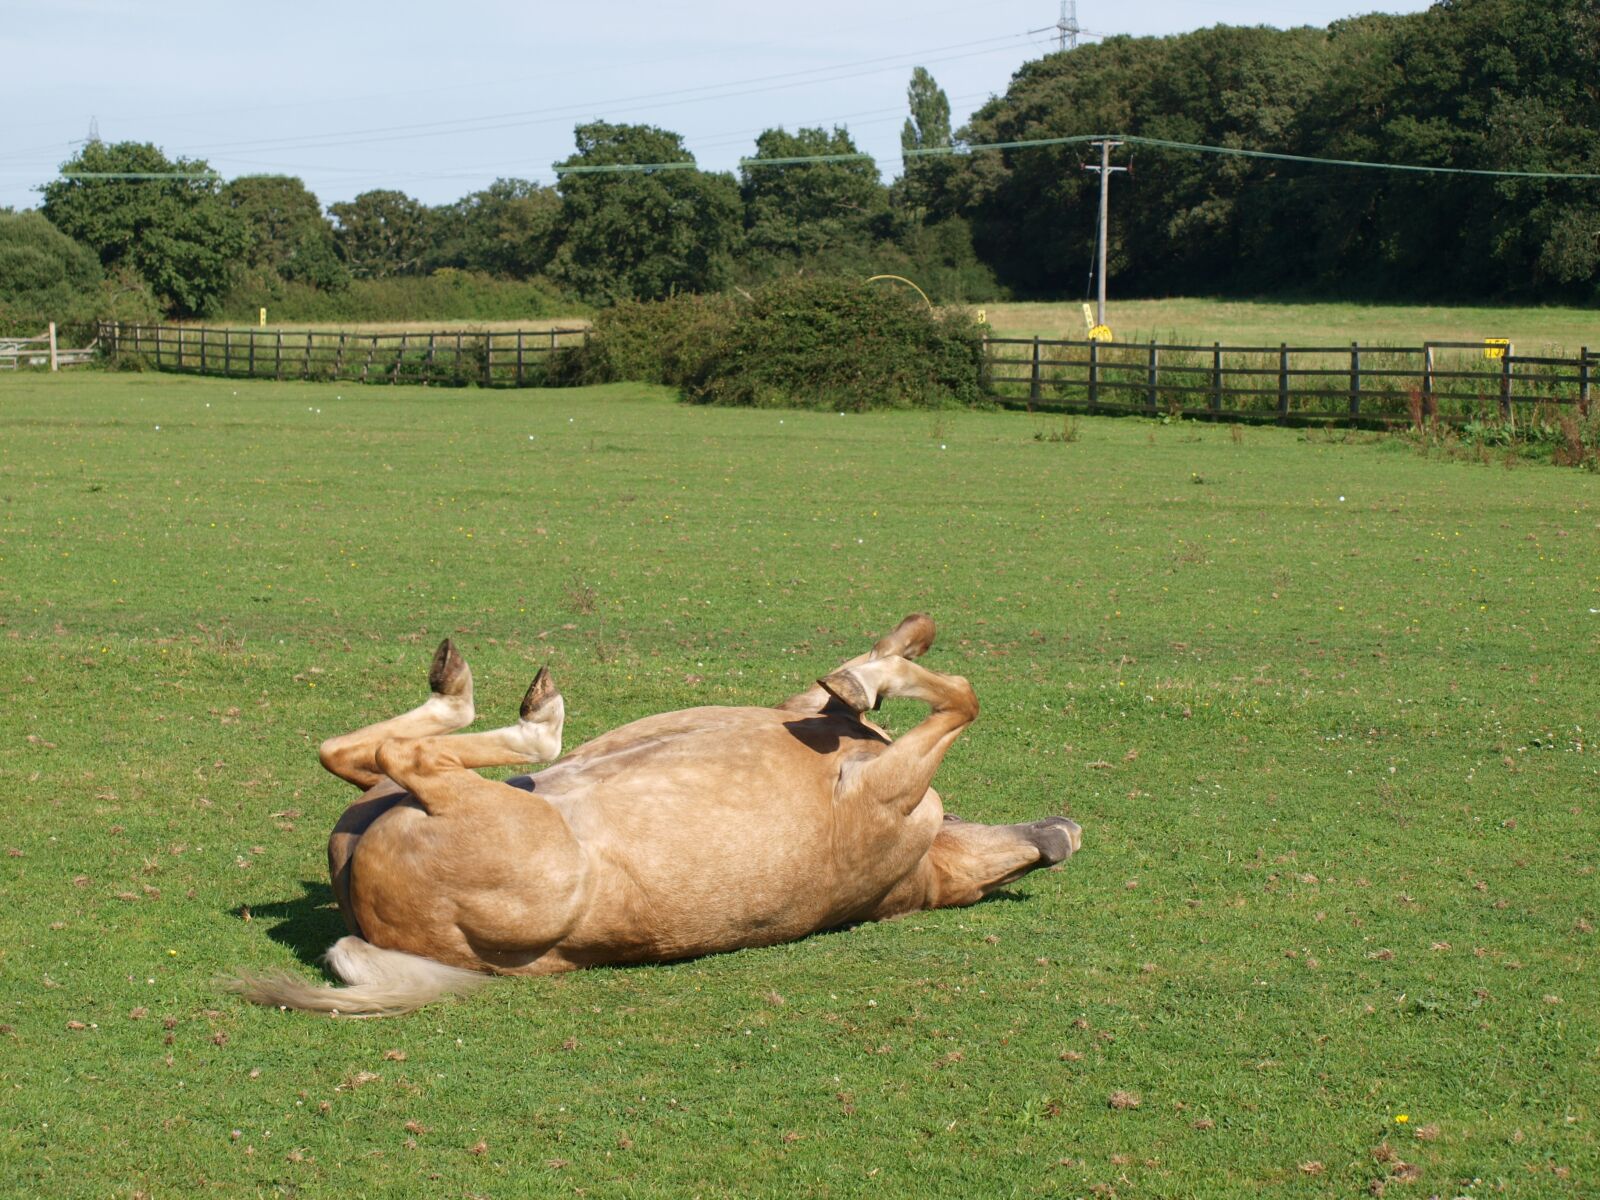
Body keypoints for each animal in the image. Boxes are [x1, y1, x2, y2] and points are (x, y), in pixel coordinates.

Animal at [233, 611, 1088, 1017]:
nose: (1063, 835)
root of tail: (371, 917)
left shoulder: (887, 787)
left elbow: (962, 697)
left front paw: (875, 676)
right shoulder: (810, 717)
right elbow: (904, 648)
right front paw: (871, 672)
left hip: (453, 811)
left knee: (396, 756)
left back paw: (527, 716)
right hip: (381, 809)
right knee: (356, 754)